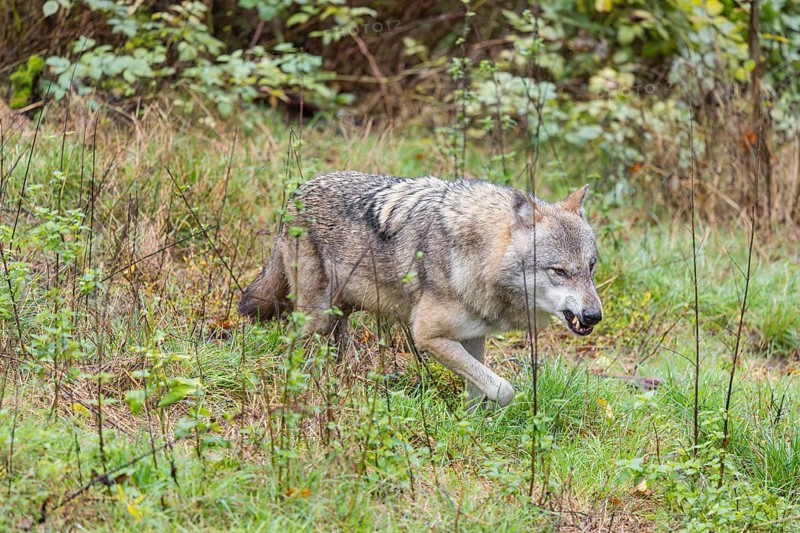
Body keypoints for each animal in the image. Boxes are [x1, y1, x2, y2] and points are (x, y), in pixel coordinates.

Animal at [239, 171, 602, 407]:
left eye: (591, 267)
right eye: (559, 271)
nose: (594, 315)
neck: (476, 255)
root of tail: (297, 191)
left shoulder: (473, 335)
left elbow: (480, 388)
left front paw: (472, 428)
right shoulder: (426, 335)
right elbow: (502, 389)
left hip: (340, 314)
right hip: (316, 317)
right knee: (289, 346)